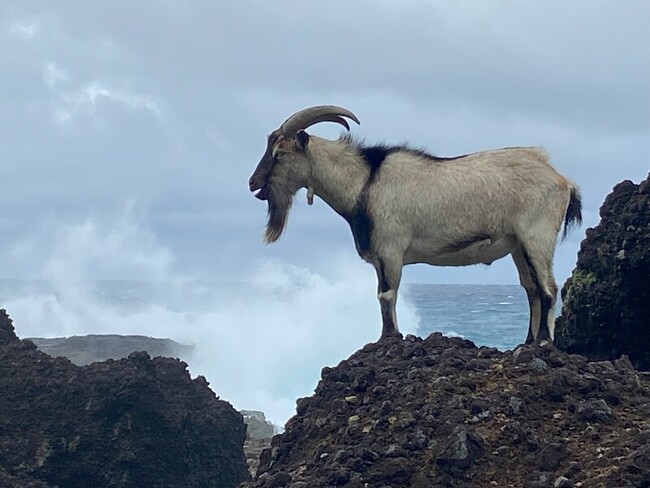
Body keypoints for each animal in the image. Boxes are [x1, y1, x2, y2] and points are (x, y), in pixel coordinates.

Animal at [249, 107, 584, 344]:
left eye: (280, 154)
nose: (253, 183)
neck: (364, 182)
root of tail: (562, 181)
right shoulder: (381, 257)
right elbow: (382, 294)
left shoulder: (391, 249)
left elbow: (386, 295)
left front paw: (389, 339)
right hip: (517, 245)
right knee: (531, 289)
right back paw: (525, 343)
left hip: (536, 236)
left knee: (548, 288)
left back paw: (541, 343)